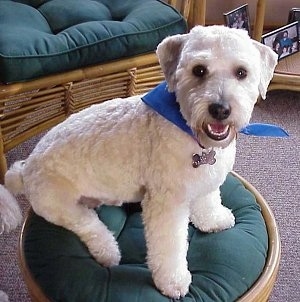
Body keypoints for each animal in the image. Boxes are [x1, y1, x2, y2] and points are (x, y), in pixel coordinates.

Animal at [0, 26, 278, 300]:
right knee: (88, 225)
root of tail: (24, 170)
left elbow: (207, 201)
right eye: (199, 70)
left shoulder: (205, 182)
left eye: (241, 72)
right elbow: (170, 246)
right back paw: (108, 252)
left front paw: (213, 219)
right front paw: (172, 281)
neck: (194, 136)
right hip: (59, 204)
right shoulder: (166, 203)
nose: (220, 109)